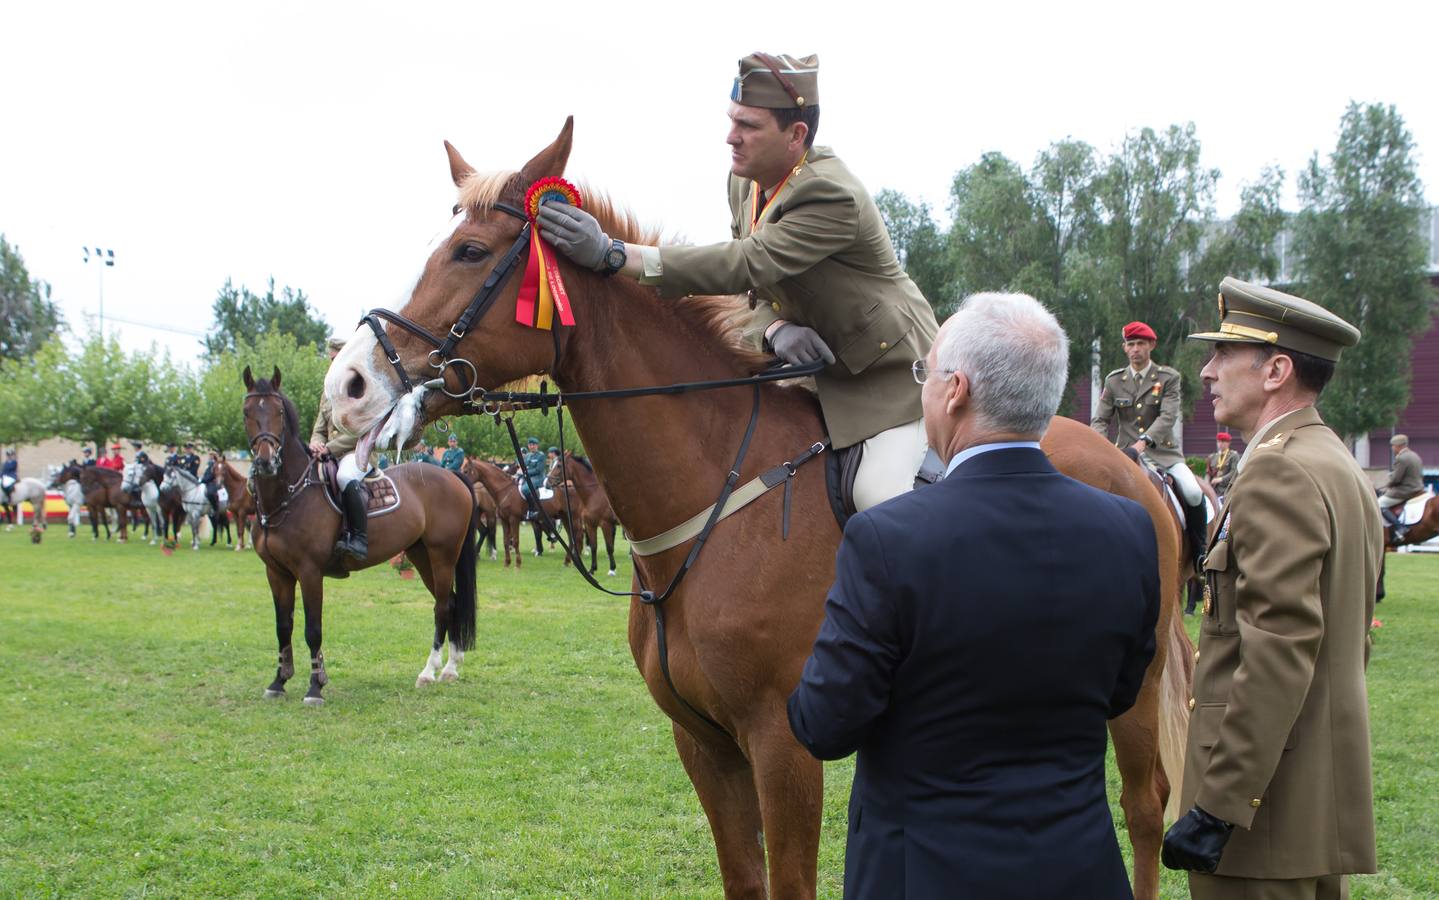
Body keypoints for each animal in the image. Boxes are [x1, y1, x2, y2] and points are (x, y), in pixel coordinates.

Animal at [238, 365, 480, 702]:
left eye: (279, 412)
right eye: (247, 412)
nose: (265, 461)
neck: (290, 494)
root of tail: (452, 475)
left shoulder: (309, 572)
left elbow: (312, 628)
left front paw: (316, 686)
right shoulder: (276, 573)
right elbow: (282, 626)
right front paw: (278, 682)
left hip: (443, 555)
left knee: (443, 606)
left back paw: (429, 672)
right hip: (421, 556)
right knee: (454, 603)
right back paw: (450, 669)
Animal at [326, 123, 1191, 892]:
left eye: (470, 252)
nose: (347, 385)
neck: (712, 501)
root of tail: (1132, 470)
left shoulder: (782, 745)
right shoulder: (703, 744)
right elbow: (743, 876)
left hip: (1133, 690)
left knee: (1144, 808)